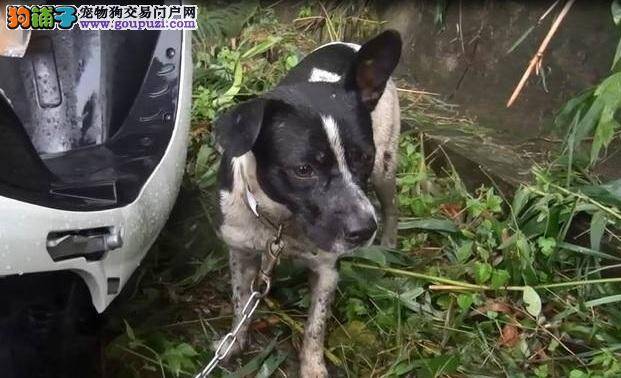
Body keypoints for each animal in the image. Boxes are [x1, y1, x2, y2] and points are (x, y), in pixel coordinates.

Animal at [214, 31, 402, 376]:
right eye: (303, 169)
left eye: (363, 157)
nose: (364, 230)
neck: (281, 223)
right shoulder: (240, 251)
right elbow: (239, 300)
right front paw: (234, 342)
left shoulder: (327, 269)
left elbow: (316, 325)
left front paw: (313, 367)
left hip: (385, 166)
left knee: (392, 206)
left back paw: (389, 244)